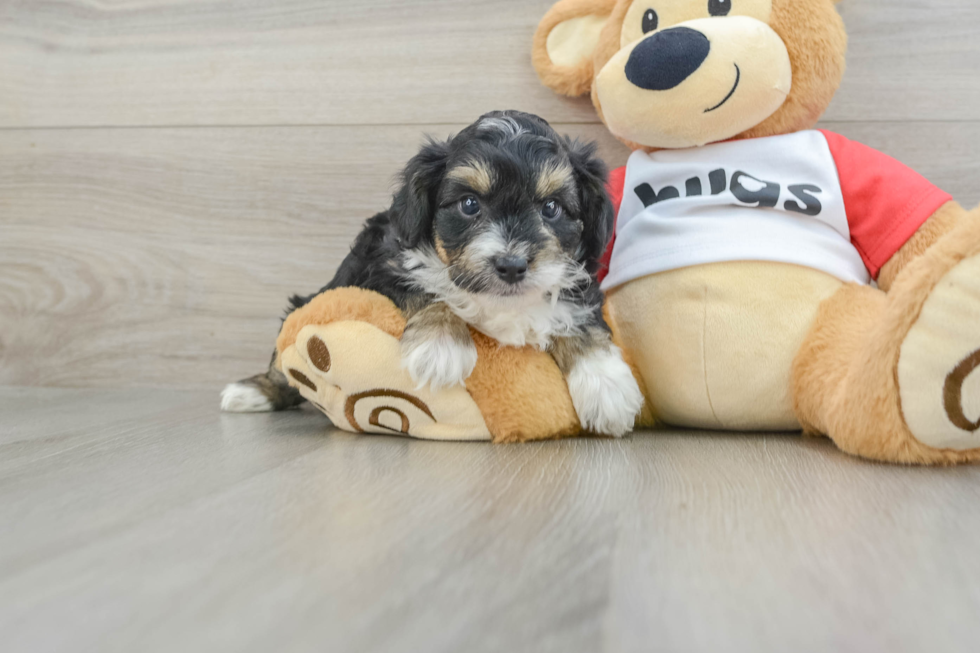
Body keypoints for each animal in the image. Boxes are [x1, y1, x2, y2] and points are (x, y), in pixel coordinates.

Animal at [226, 111, 648, 438]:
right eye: (469, 204)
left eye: (552, 208)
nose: (512, 265)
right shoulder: (383, 268)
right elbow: (429, 289)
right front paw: (440, 347)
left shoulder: (576, 279)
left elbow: (579, 318)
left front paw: (608, 386)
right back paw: (252, 393)